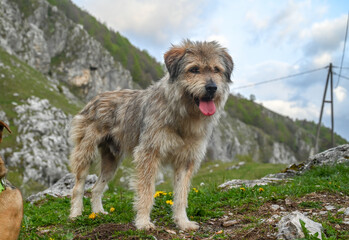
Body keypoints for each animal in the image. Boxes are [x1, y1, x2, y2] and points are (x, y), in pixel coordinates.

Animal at [69, 39, 232, 231]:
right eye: (194, 69)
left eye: (216, 69)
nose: (212, 88)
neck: (182, 114)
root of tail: (95, 98)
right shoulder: (149, 153)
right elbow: (147, 191)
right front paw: (143, 222)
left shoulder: (186, 160)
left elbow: (181, 195)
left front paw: (183, 222)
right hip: (85, 152)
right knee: (78, 186)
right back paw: (75, 214)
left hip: (111, 161)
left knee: (96, 187)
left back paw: (98, 213)